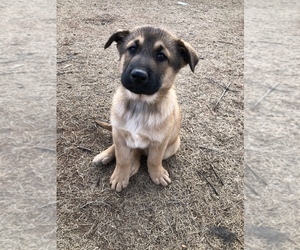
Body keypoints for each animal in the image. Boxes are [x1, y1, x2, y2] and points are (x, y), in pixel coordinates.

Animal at [92, 25, 198, 191]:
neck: (140, 104)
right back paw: (106, 156)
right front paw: (120, 175)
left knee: (139, 152)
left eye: (161, 56)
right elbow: (122, 158)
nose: (138, 75)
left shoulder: (160, 143)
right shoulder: (120, 134)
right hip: (118, 132)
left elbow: (153, 160)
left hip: (173, 146)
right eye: (132, 48)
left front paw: (157, 174)